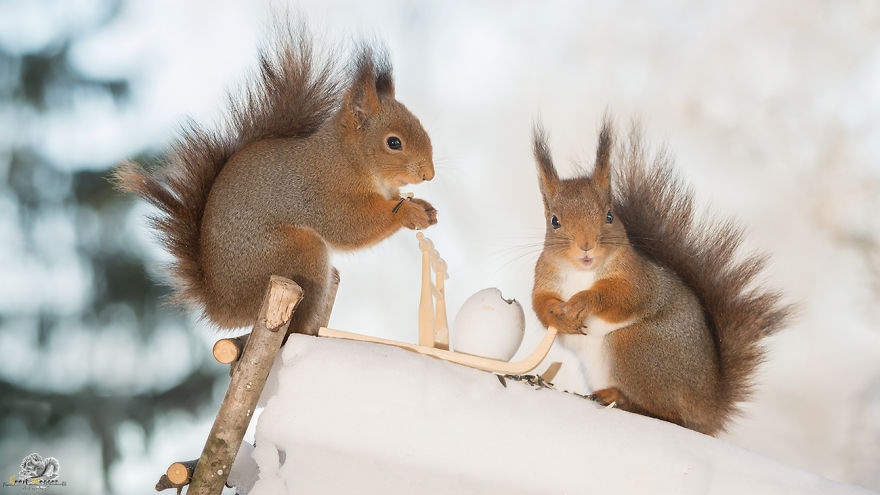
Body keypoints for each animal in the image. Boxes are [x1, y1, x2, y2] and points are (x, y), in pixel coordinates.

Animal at [113, 28, 437, 335]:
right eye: (393, 142)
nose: (429, 175)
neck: (347, 157)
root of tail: (223, 309)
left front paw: (424, 206)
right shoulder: (324, 191)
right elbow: (348, 226)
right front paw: (408, 212)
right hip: (296, 256)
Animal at [530, 118, 791, 435]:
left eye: (609, 215)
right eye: (554, 221)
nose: (586, 246)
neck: (583, 272)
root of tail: (709, 408)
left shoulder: (639, 280)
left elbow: (623, 298)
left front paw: (584, 301)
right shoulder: (544, 277)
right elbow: (538, 303)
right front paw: (555, 315)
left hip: (637, 346)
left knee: (669, 415)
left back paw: (620, 398)